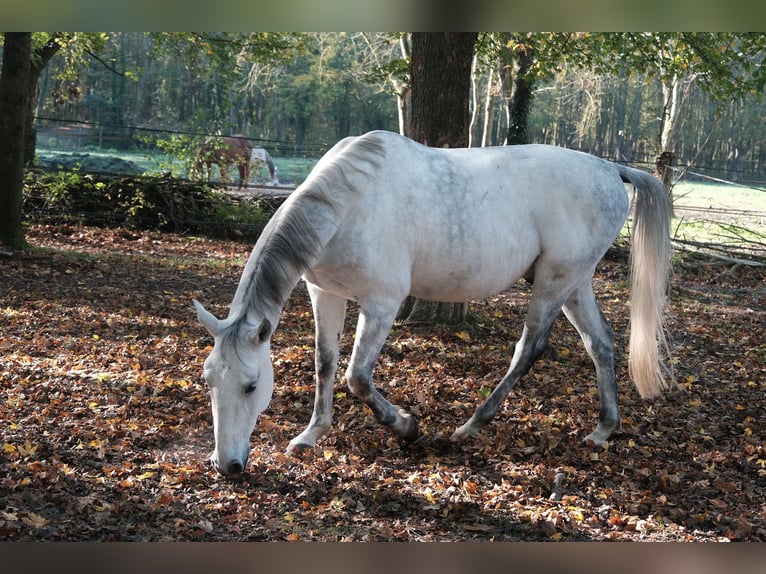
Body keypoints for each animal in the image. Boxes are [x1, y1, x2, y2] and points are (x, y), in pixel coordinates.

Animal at [195, 129, 676, 476]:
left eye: (251, 386)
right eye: (208, 381)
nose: (227, 466)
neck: (349, 202)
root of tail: (609, 169)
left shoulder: (382, 303)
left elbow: (357, 377)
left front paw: (407, 426)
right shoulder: (325, 293)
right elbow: (324, 364)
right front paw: (311, 434)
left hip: (554, 284)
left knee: (529, 349)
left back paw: (471, 425)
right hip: (574, 284)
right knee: (601, 342)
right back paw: (603, 429)